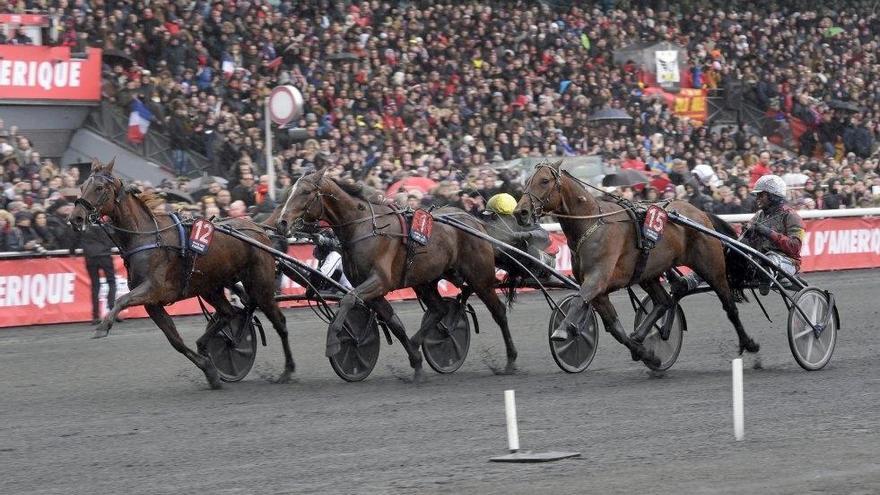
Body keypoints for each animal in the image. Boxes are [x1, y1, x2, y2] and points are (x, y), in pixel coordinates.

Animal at [69, 159, 296, 388]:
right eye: (82, 186)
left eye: (99, 188)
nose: (75, 218)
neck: (147, 237)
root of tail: (259, 228)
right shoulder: (153, 303)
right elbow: (175, 340)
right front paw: (210, 371)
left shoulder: (154, 288)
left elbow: (121, 300)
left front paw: (103, 326)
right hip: (211, 287)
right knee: (229, 313)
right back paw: (209, 344)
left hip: (260, 285)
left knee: (279, 322)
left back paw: (287, 370)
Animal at [272, 168, 512, 380]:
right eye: (291, 191)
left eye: (305, 192)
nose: (281, 222)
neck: (365, 228)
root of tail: (475, 222)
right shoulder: (373, 291)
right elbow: (395, 324)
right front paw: (416, 361)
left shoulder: (379, 281)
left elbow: (348, 299)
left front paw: (335, 341)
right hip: (425, 281)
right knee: (439, 310)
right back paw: (420, 342)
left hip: (479, 279)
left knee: (498, 311)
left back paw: (511, 360)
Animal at [516, 161, 756, 366]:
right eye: (526, 181)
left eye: (544, 180)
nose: (521, 212)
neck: (592, 224)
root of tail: (700, 213)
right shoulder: (599, 292)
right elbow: (616, 329)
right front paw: (648, 355)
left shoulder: (597, 280)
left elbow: (578, 301)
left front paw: (564, 329)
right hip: (648, 273)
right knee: (665, 300)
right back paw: (643, 334)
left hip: (711, 267)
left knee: (729, 305)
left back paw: (749, 343)